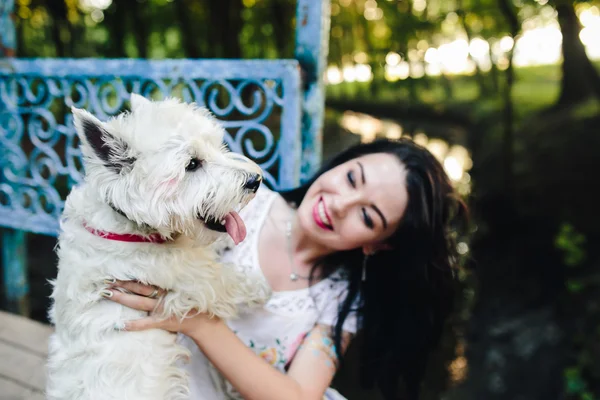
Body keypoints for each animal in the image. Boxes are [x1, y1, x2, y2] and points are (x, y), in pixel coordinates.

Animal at [44, 94, 264, 400]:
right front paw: (261, 290)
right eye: (192, 164)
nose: (255, 180)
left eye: (218, 146)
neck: (127, 225)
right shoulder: (185, 278)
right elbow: (223, 279)